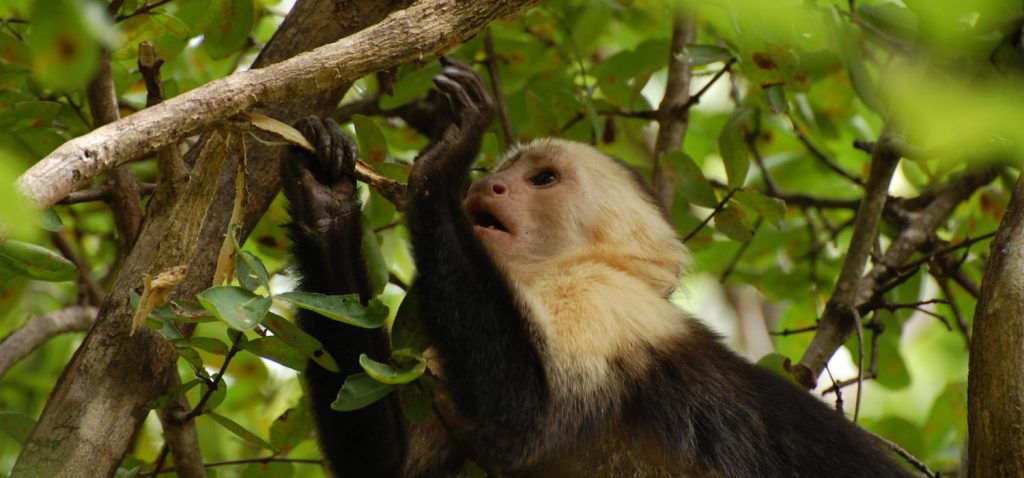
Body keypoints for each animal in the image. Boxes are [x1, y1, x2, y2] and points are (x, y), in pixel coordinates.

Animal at [281, 58, 916, 477]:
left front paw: (447, 156)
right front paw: (327, 197)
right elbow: (393, 468)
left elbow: (522, 420)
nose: (489, 185)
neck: (548, 274)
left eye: (542, 179)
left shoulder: (600, 299)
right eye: (505, 171)